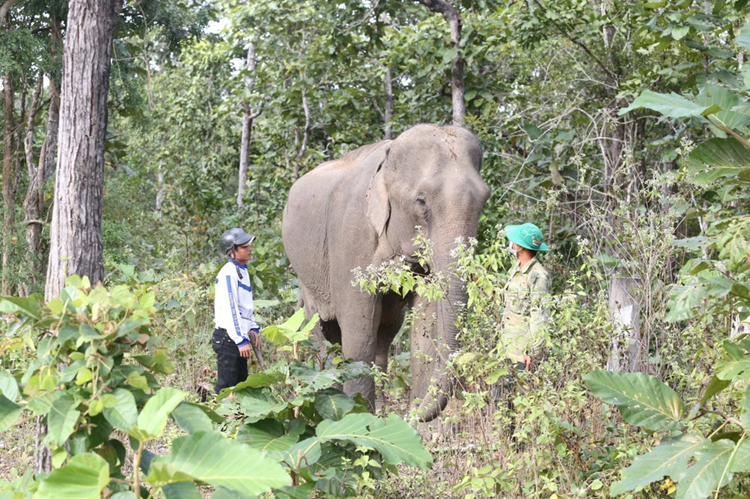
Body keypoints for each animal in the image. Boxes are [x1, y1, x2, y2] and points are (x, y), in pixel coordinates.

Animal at [284, 125, 494, 422]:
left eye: (484, 199)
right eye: (421, 201)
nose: (409, 413)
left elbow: (424, 331)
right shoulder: (351, 237)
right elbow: (358, 334)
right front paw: (359, 416)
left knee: (385, 331)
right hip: (307, 277)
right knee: (324, 332)